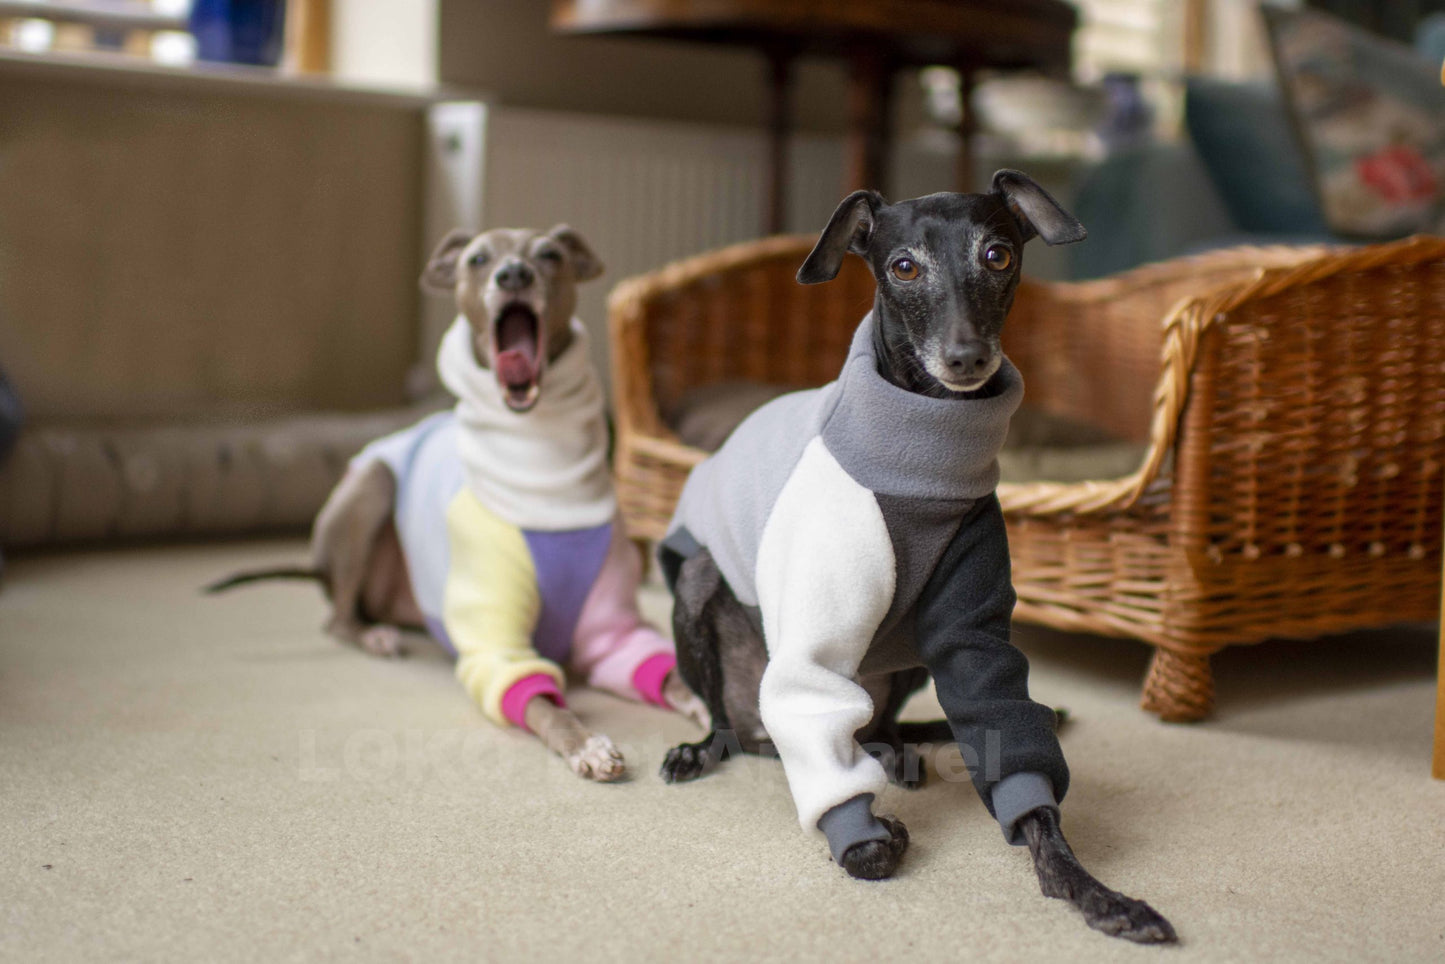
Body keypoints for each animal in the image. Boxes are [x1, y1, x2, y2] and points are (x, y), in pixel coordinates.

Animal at [656, 171, 1173, 942]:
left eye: (997, 255)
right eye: (903, 267)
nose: (966, 358)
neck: (928, 450)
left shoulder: (969, 628)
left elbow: (1013, 748)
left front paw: (1091, 888)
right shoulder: (811, 646)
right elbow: (851, 809)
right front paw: (870, 837)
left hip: (907, 655)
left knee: (877, 727)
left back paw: (897, 751)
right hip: (697, 593)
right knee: (733, 725)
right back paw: (708, 747)